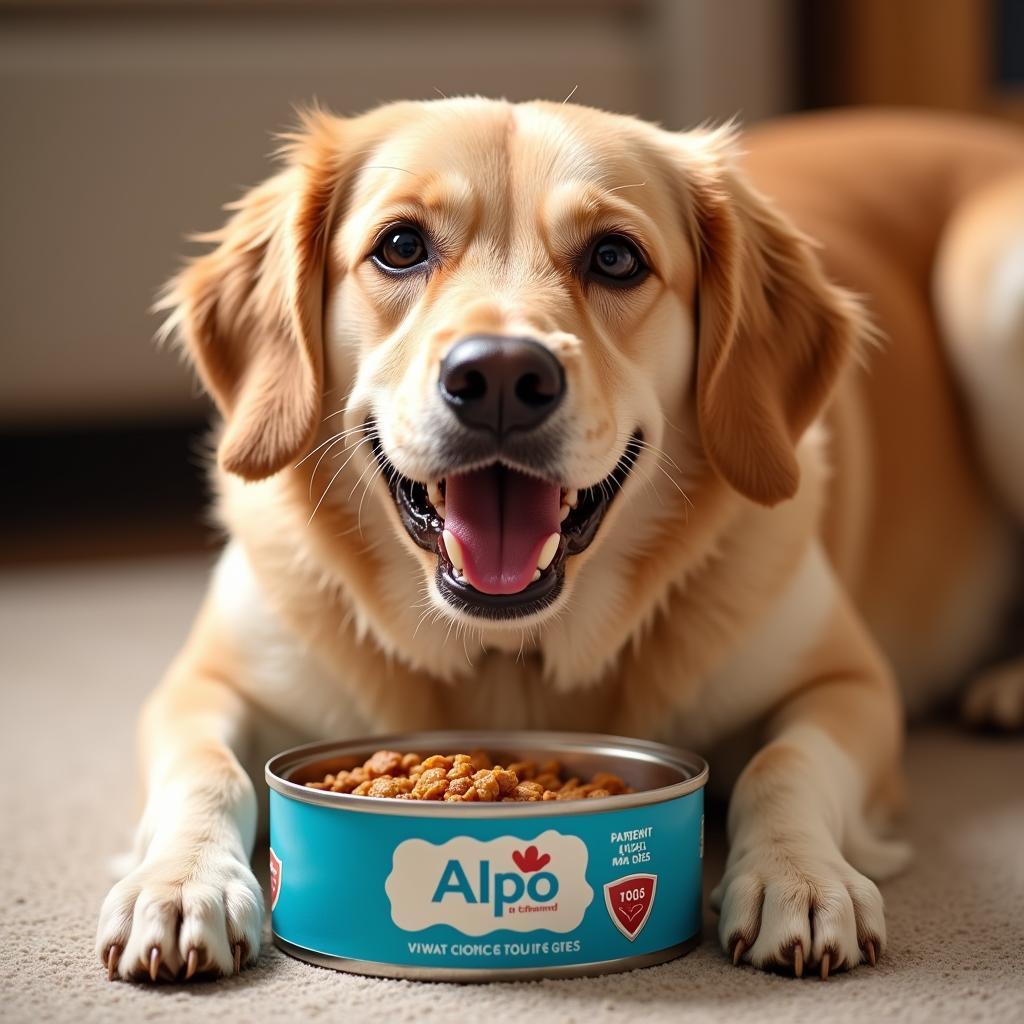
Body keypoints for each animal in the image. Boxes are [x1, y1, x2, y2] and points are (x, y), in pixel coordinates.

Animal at [96, 97, 1024, 983]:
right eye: (400, 246)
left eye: (615, 258)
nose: (502, 376)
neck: (514, 657)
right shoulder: (202, 685)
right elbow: (207, 770)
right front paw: (178, 883)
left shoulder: (849, 685)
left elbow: (783, 763)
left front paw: (796, 876)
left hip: (988, 294)